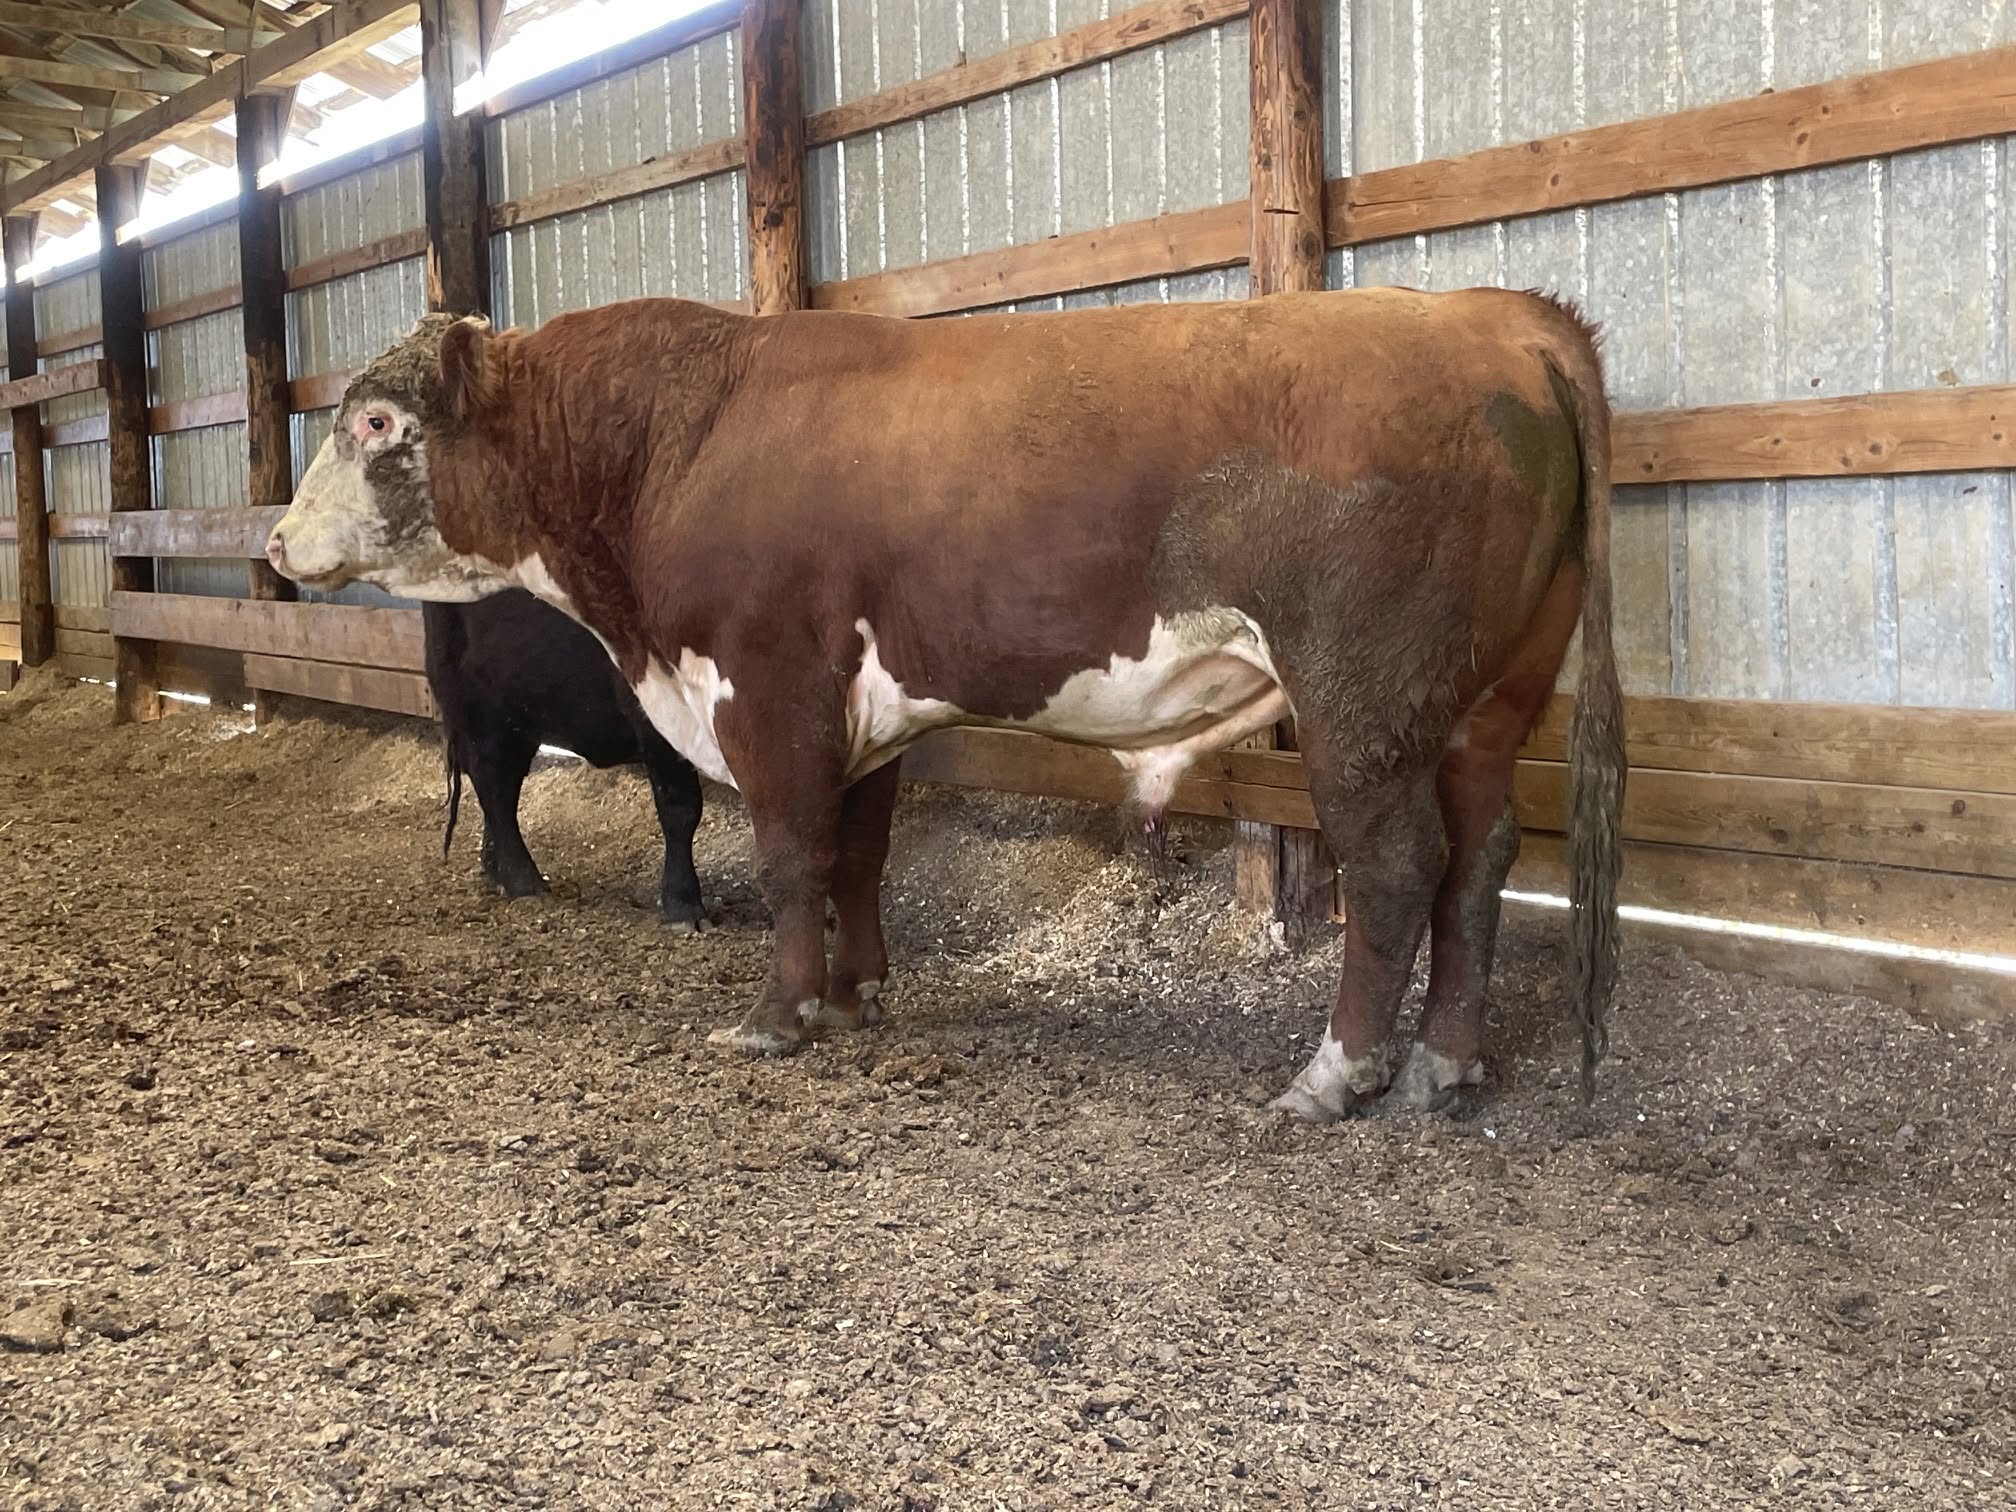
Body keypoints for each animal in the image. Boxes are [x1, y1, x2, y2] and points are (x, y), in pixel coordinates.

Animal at [425, 590, 708, 929]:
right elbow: (681, 809)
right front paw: (683, 905)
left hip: (519, 717)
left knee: (504, 787)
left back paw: (497, 869)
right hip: (478, 708)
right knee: (494, 785)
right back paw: (524, 882)